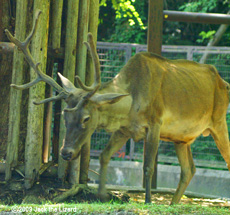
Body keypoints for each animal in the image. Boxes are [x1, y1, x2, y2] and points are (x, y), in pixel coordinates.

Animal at [5, 10, 230, 205]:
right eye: (64, 115)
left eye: (86, 118)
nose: (66, 153)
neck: (129, 107)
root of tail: (225, 83)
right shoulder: (124, 129)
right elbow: (104, 155)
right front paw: (101, 194)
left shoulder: (155, 123)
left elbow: (148, 167)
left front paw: (148, 201)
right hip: (182, 138)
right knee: (189, 169)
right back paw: (173, 204)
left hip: (219, 121)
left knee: (224, 159)